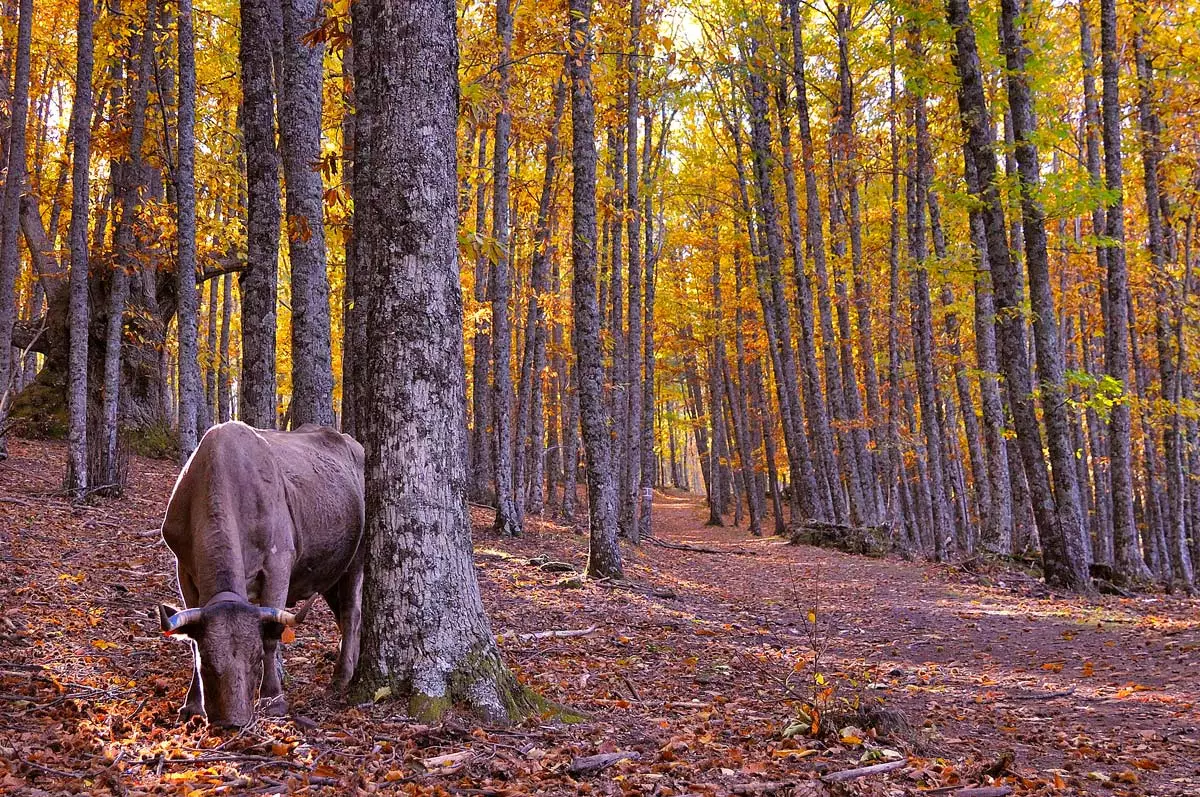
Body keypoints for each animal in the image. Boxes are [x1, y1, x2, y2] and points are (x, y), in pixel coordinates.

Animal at [159, 422, 364, 729]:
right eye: (208, 661)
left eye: (255, 660)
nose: (233, 721)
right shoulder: (184, 567)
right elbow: (191, 641)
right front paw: (192, 705)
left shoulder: (278, 561)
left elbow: (272, 635)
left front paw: (273, 699)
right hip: (329, 571)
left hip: (356, 558)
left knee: (351, 613)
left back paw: (342, 676)